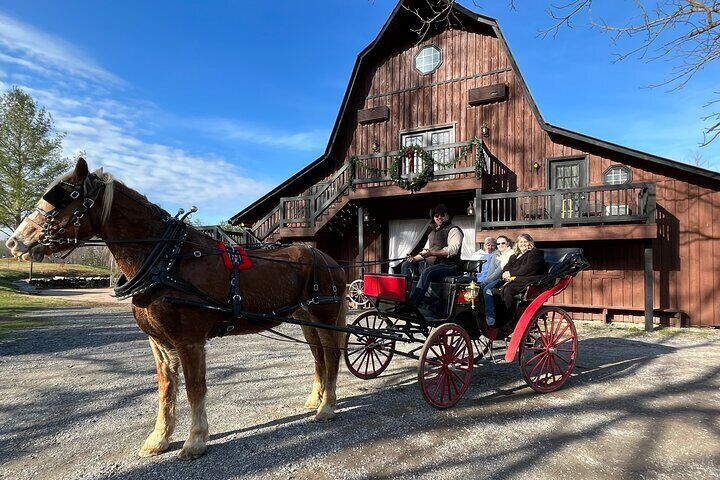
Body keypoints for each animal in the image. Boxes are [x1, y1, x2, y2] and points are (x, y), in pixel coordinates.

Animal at [4, 159, 348, 460]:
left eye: (65, 198)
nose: (15, 242)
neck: (168, 260)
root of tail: (330, 260)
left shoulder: (189, 340)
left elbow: (195, 388)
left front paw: (195, 442)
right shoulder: (158, 343)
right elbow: (166, 389)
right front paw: (158, 439)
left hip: (325, 314)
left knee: (331, 357)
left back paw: (327, 407)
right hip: (305, 318)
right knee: (318, 357)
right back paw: (315, 399)